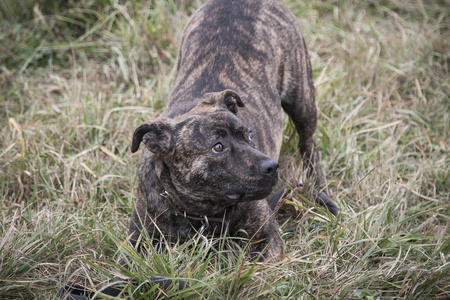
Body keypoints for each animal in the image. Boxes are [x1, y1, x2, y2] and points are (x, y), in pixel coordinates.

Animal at [127, 0, 338, 260]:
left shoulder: (266, 236)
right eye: (218, 147)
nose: (272, 166)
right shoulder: (135, 243)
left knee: (308, 143)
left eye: (249, 135)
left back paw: (317, 185)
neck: (201, 211)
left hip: (302, 103)